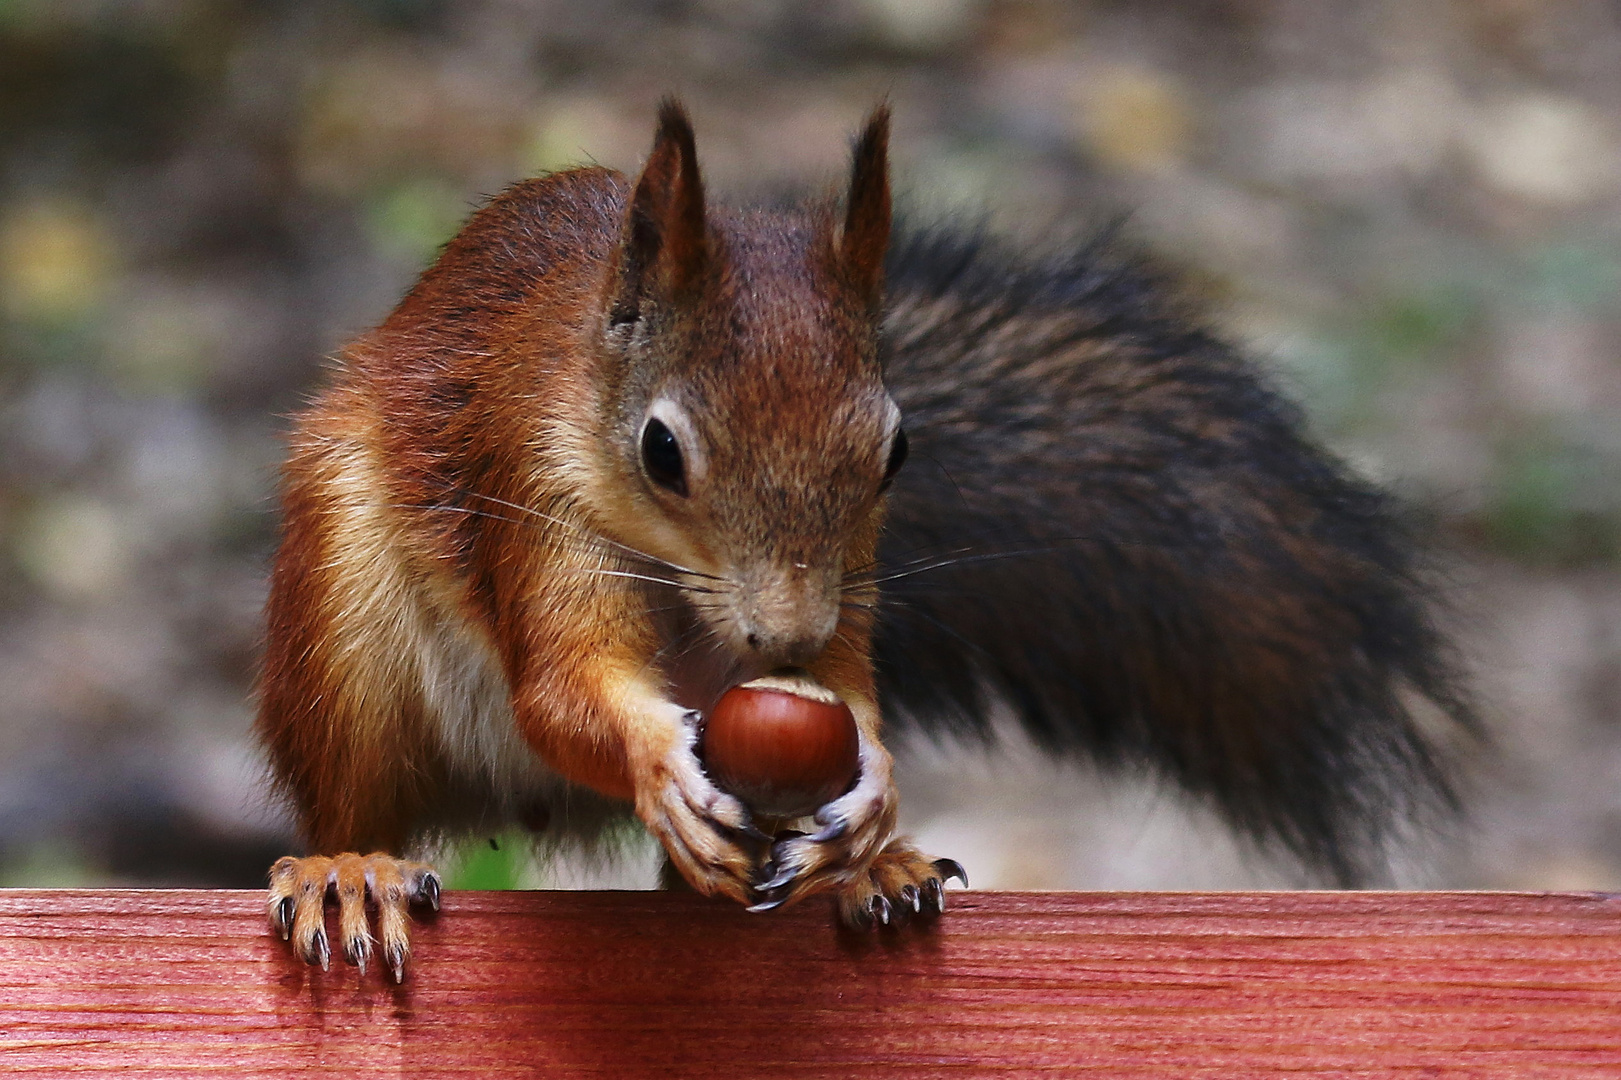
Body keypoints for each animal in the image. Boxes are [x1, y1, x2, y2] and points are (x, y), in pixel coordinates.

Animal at [252, 98, 1471, 972]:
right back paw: (350, 871)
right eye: (661, 451)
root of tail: (522, 809)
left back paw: (864, 874)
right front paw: (657, 759)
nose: (781, 639)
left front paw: (874, 791)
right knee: (350, 789)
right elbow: (560, 688)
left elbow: (849, 688)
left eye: (896, 449)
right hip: (342, 623)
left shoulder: (854, 580)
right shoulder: (531, 492)